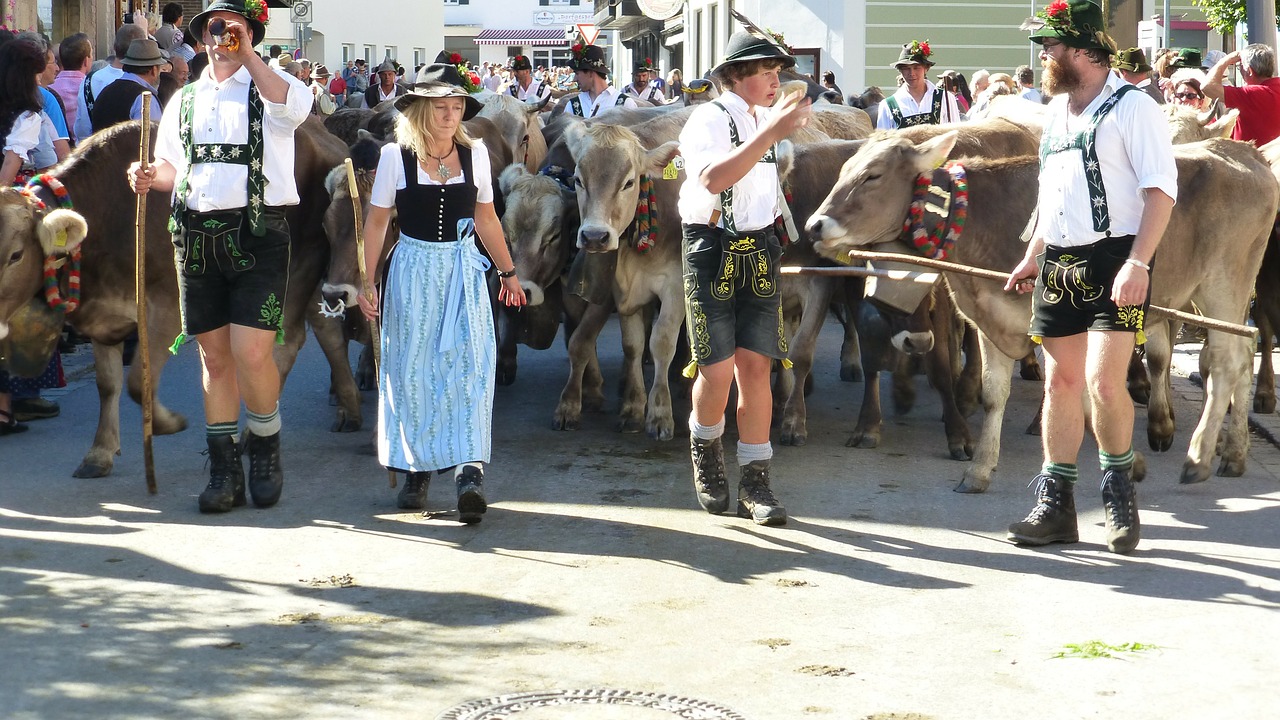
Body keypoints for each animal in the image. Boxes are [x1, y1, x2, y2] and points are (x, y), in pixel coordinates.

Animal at [803, 132, 1274, 489]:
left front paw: (1129, 462)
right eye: (843, 171)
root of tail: (1240, 151)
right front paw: (980, 469)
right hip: (1228, 294)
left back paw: (1198, 458)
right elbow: (995, 394)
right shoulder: (989, 319)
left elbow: (1075, 392)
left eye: (873, 176)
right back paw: (1234, 454)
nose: (813, 225)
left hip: (1223, 284)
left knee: (1225, 363)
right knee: (1241, 358)